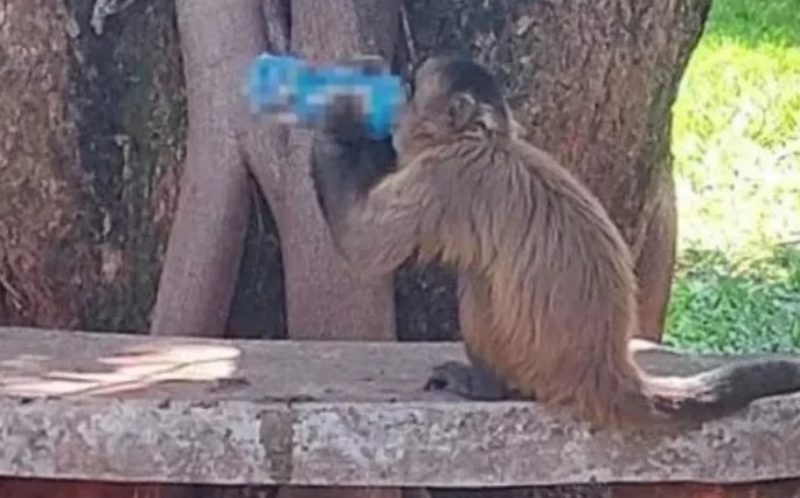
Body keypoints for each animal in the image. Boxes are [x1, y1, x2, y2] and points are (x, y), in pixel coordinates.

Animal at [309, 54, 800, 431]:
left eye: (411, 92)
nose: (395, 108)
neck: (489, 141)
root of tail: (606, 367)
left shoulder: (446, 175)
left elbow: (363, 245)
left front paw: (338, 120)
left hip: (531, 362)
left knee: (478, 279)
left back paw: (488, 387)